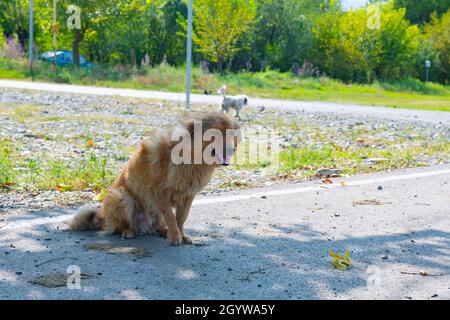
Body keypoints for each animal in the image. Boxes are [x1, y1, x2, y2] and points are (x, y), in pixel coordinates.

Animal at [69, 112, 239, 245]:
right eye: (215, 134)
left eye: (232, 134)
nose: (232, 150)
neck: (191, 157)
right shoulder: (162, 193)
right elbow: (171, 217)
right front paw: (175, 237)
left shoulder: (188, 196)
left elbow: (181, 218)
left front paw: (181, 235)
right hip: (121, 197)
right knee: (118, 226)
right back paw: (128, 231)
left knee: (157, 225)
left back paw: (163, 231)